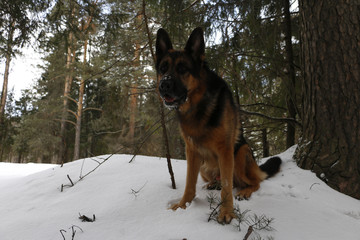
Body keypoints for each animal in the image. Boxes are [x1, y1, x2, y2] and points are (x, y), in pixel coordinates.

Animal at [155, 27, 282, 223]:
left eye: (182, 69)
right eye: (163, 68)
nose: (164, 85)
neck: (198, 104)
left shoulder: (225, 150)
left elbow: (227, 188)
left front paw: (227, 212)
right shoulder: (192, 151)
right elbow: (189, 184)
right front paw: (183, 205)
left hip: (240, 154)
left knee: (254, 182)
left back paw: (245, 191)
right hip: (204, 167)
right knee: (218, 180)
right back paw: (212, 184)